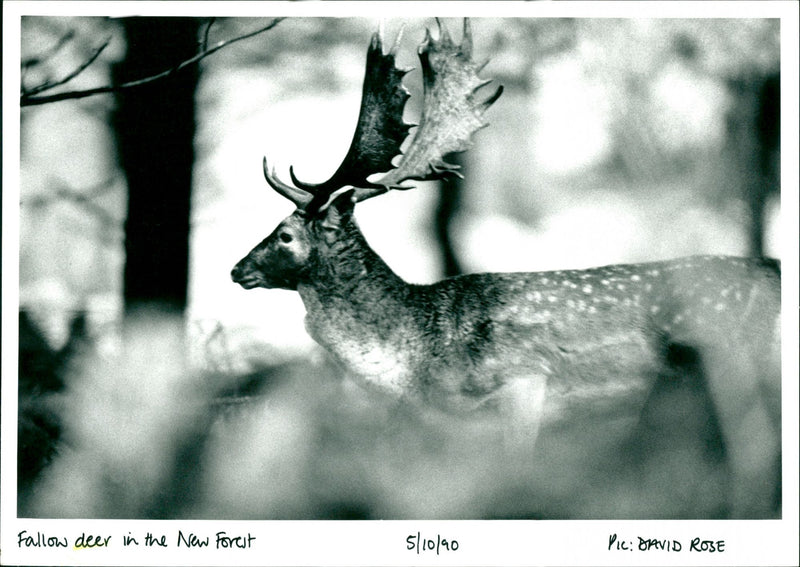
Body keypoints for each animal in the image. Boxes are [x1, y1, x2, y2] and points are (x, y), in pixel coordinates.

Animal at [231, 19, 781, 518]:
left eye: (285, 233)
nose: (237, 270)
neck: (419, 355)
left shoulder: (525, 379)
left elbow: (519, 468)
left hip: (743, 360)